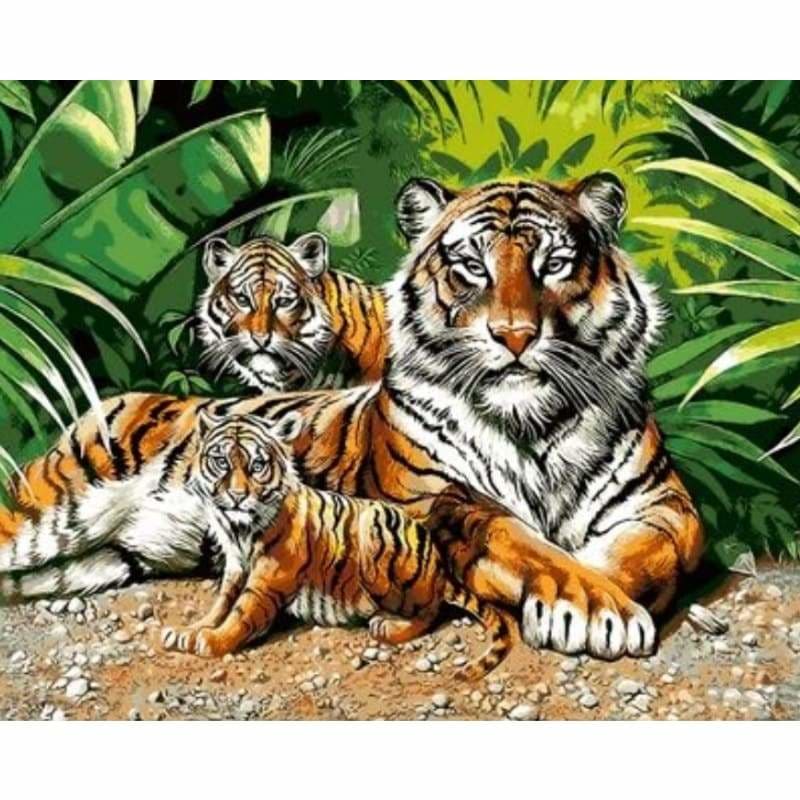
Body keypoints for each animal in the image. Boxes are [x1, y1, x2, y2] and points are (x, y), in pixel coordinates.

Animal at [159, 412, 512, 678]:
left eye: (257, 466)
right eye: (221, 462)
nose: (236, 496)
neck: (238, 530)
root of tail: (439, 568)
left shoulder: (269, 576)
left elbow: (240, 612)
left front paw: (211, 640)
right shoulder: (235, 567)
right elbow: (221, 604)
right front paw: (190, 630)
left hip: (376, 532)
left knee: (431, 610)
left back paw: (388, 627)